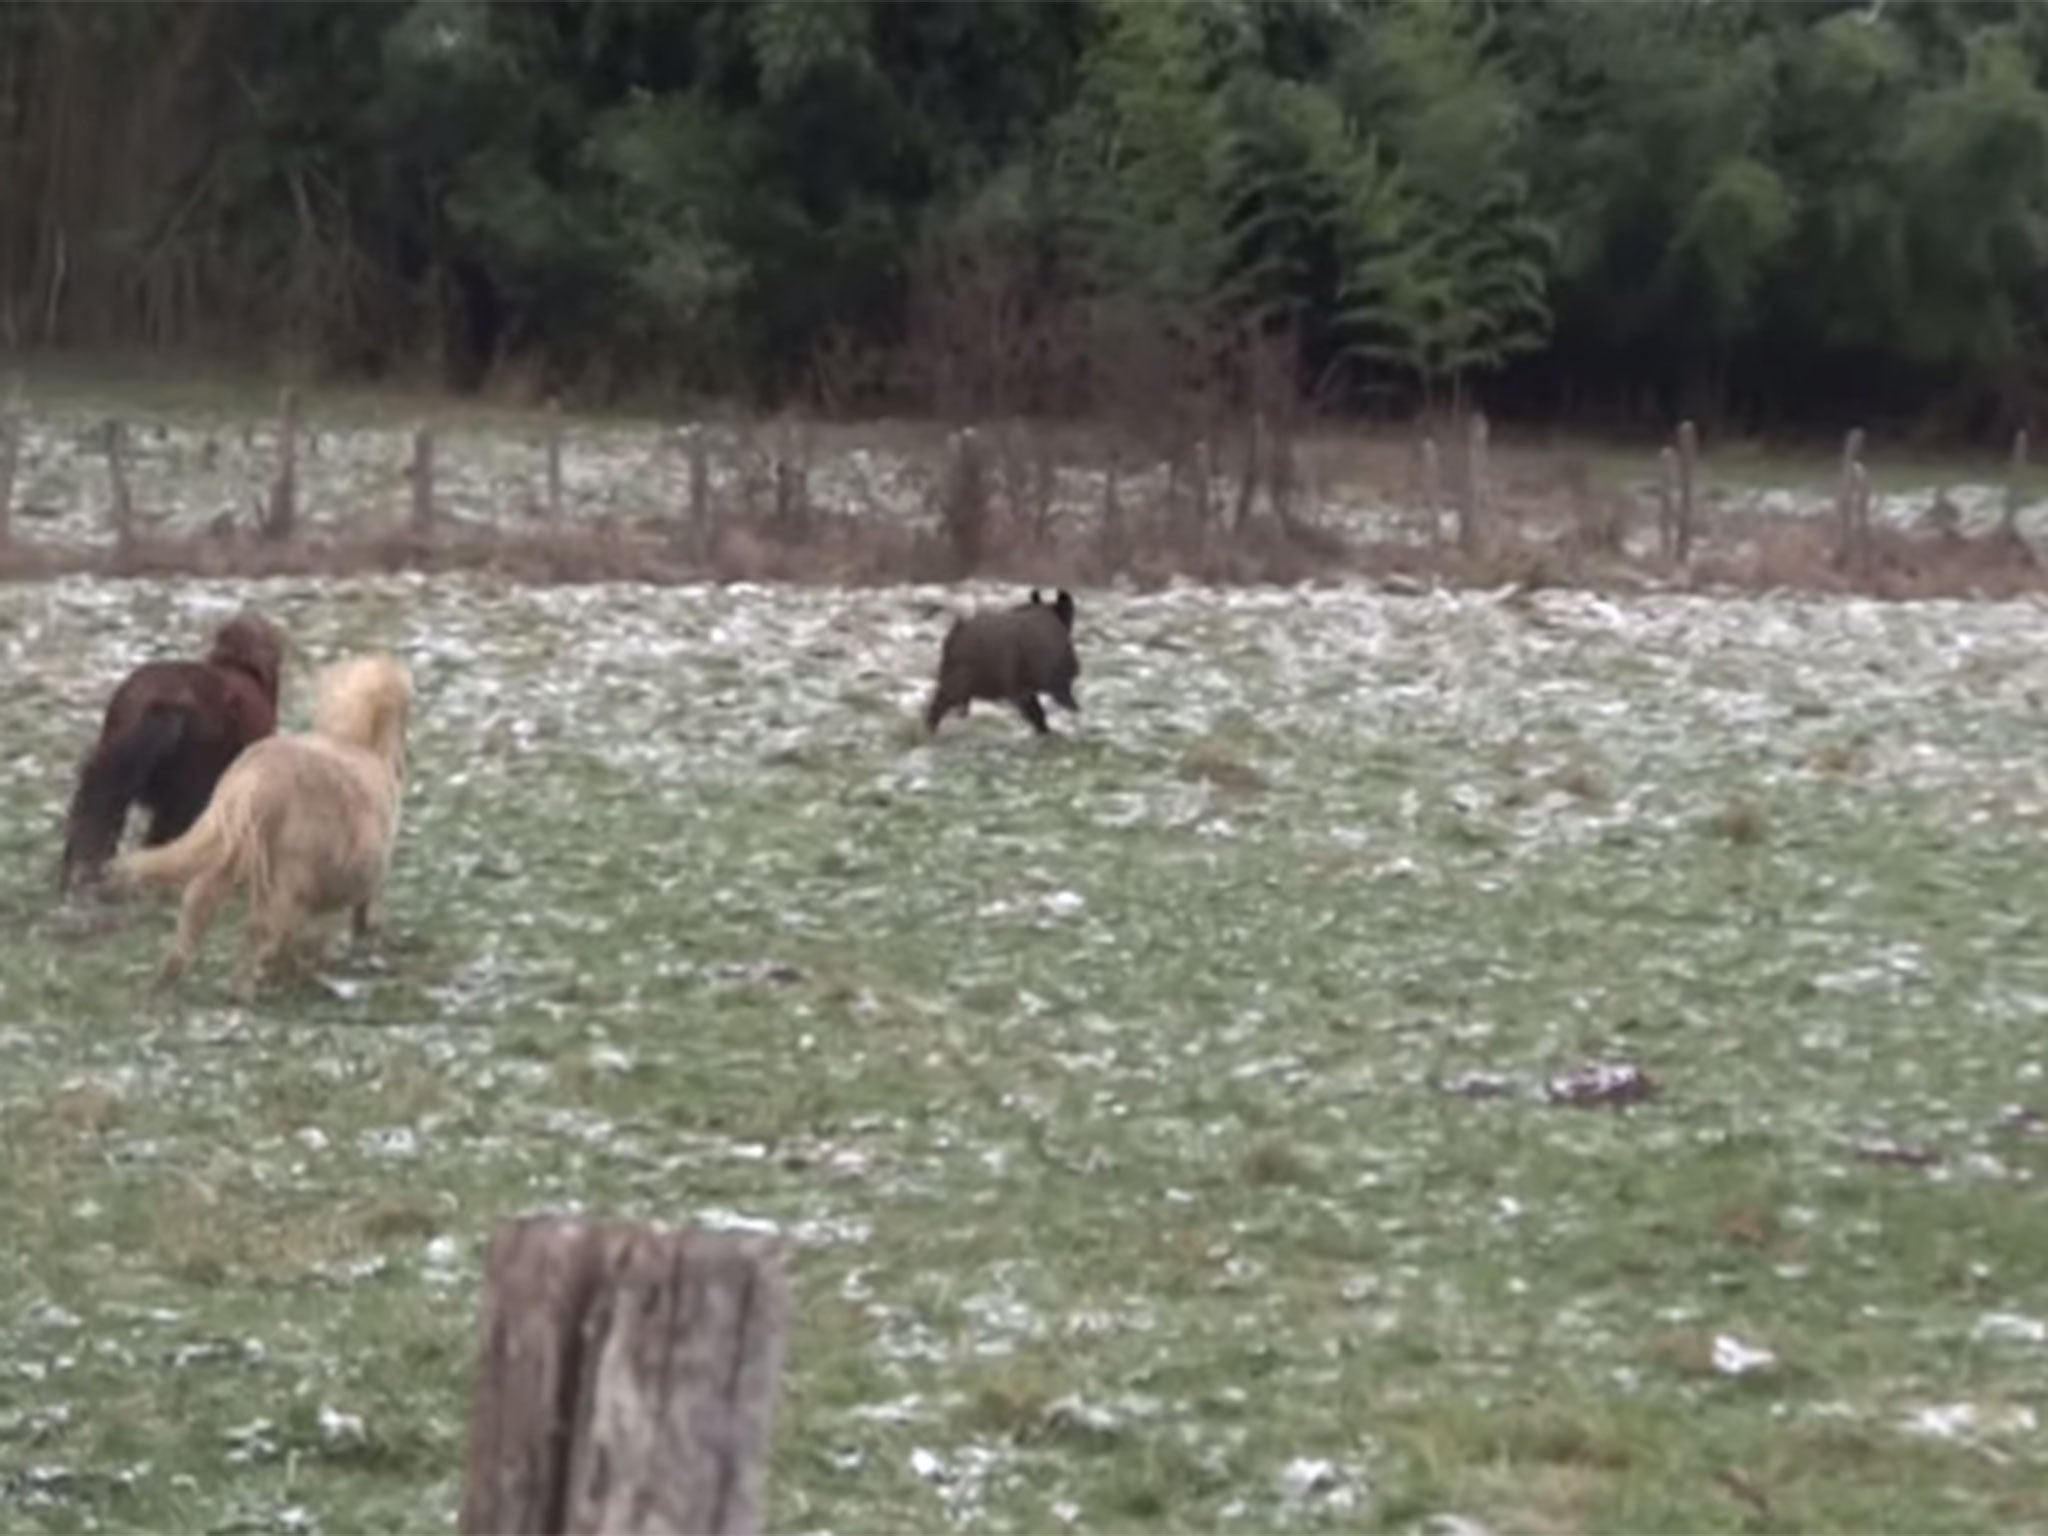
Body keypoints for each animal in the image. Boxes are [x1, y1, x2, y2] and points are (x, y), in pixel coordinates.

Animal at [115, 651, 415, 1003]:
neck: (358, 740)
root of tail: (251, 784)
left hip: (226, 858)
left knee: (196, 912)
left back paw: (167, 983)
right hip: (288, 874)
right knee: (261, 929)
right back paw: (246, 989)